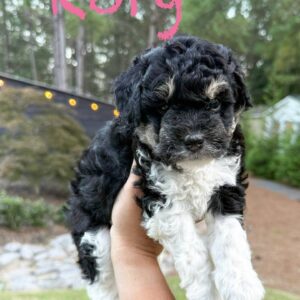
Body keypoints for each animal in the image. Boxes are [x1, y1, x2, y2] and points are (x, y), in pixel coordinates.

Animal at [68, 35, 264, 300]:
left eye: (214, 104)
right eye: (162, 107)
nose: (194, 140)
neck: (193, 167)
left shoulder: (226, 187)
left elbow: (231, 240)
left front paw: (241, 285)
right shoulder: (162, 199)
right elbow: (193, 253)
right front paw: (206, 292)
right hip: (93, 234)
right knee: (101, 279)